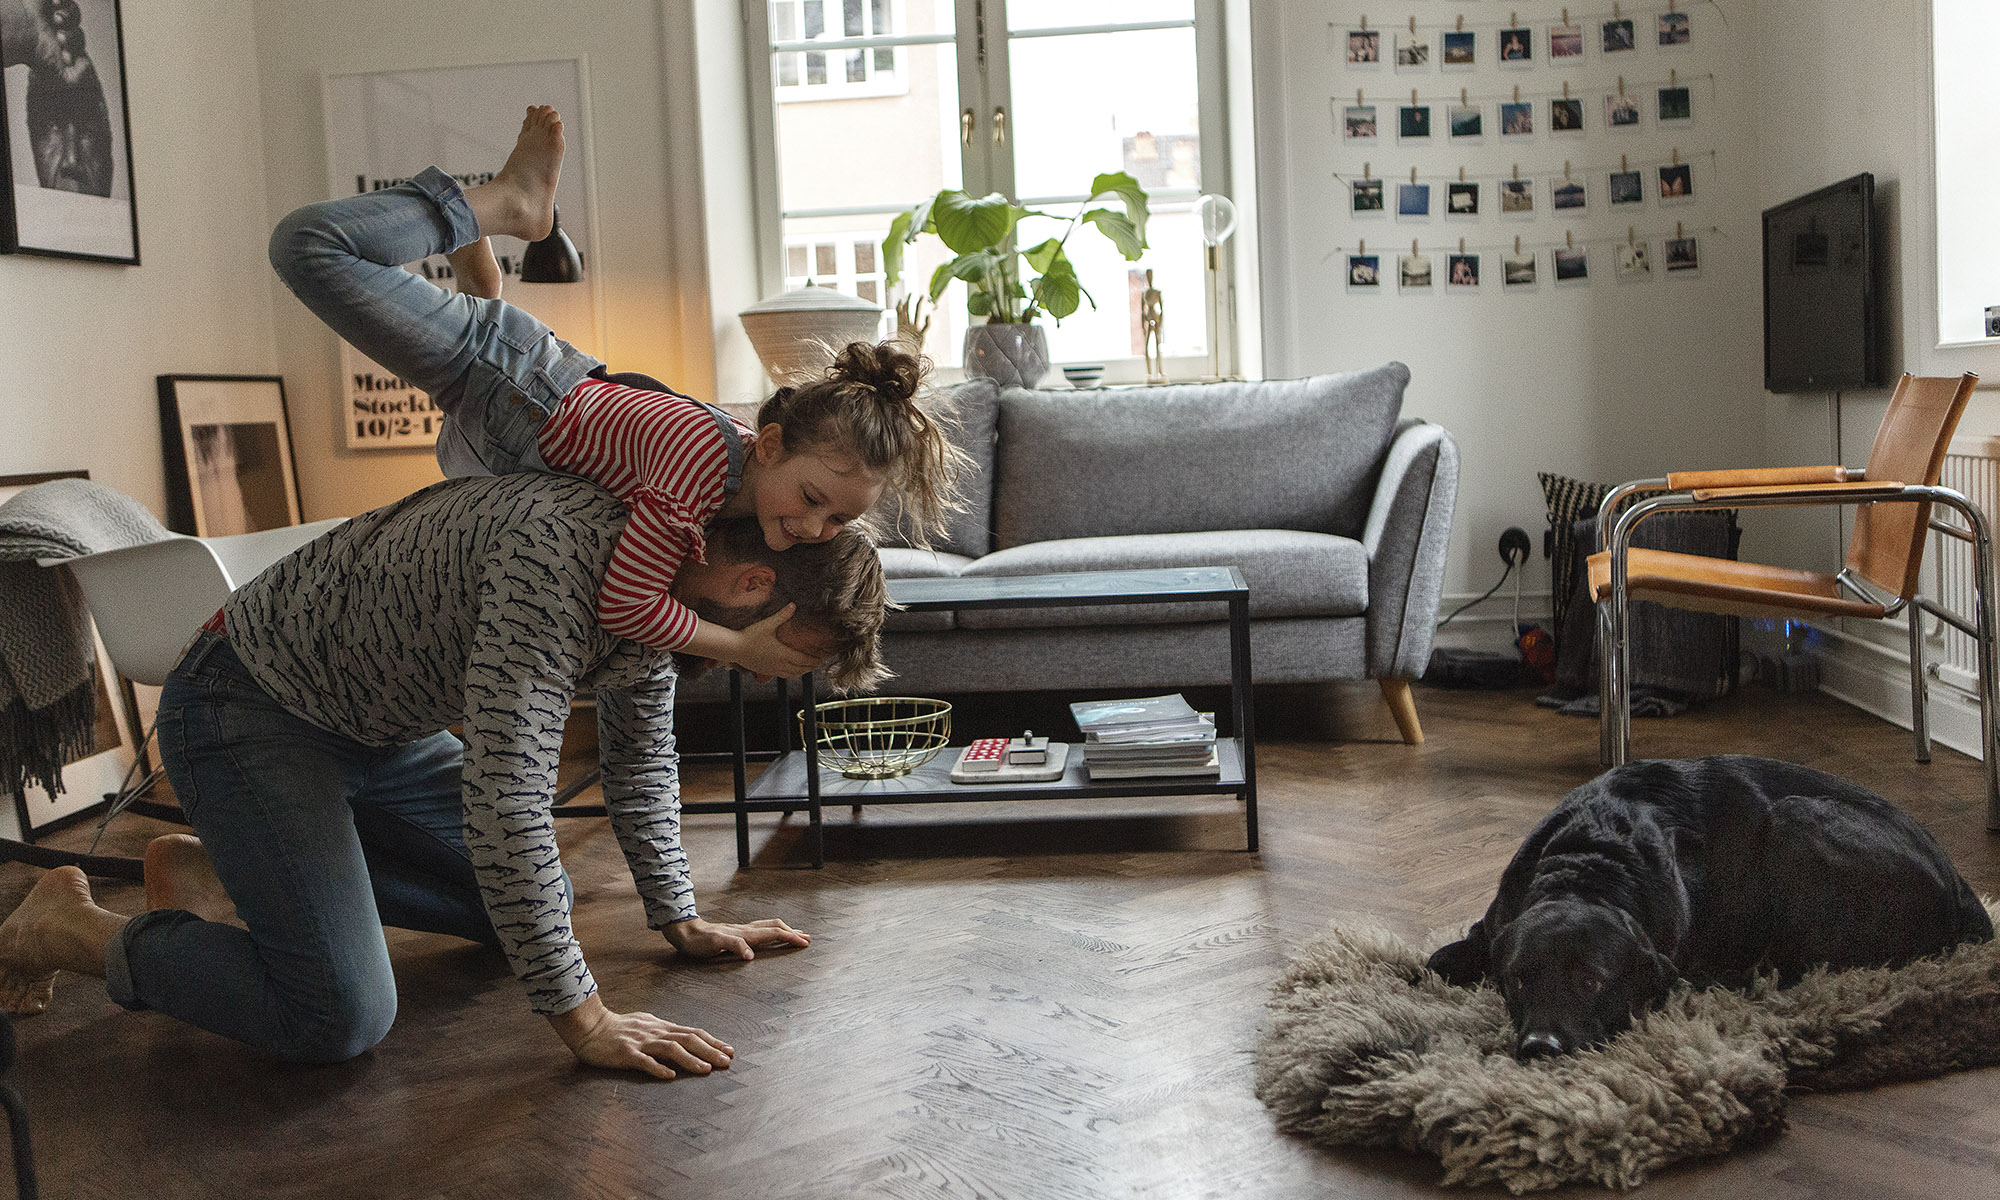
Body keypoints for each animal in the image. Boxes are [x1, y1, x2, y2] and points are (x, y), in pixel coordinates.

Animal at [1432, 760, 1992, 1056]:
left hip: (1791, 820)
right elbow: (1436, 963)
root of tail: (1962, 886)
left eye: (1590, 981)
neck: (1588, 865)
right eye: (1517, 980)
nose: (1540, 1047)